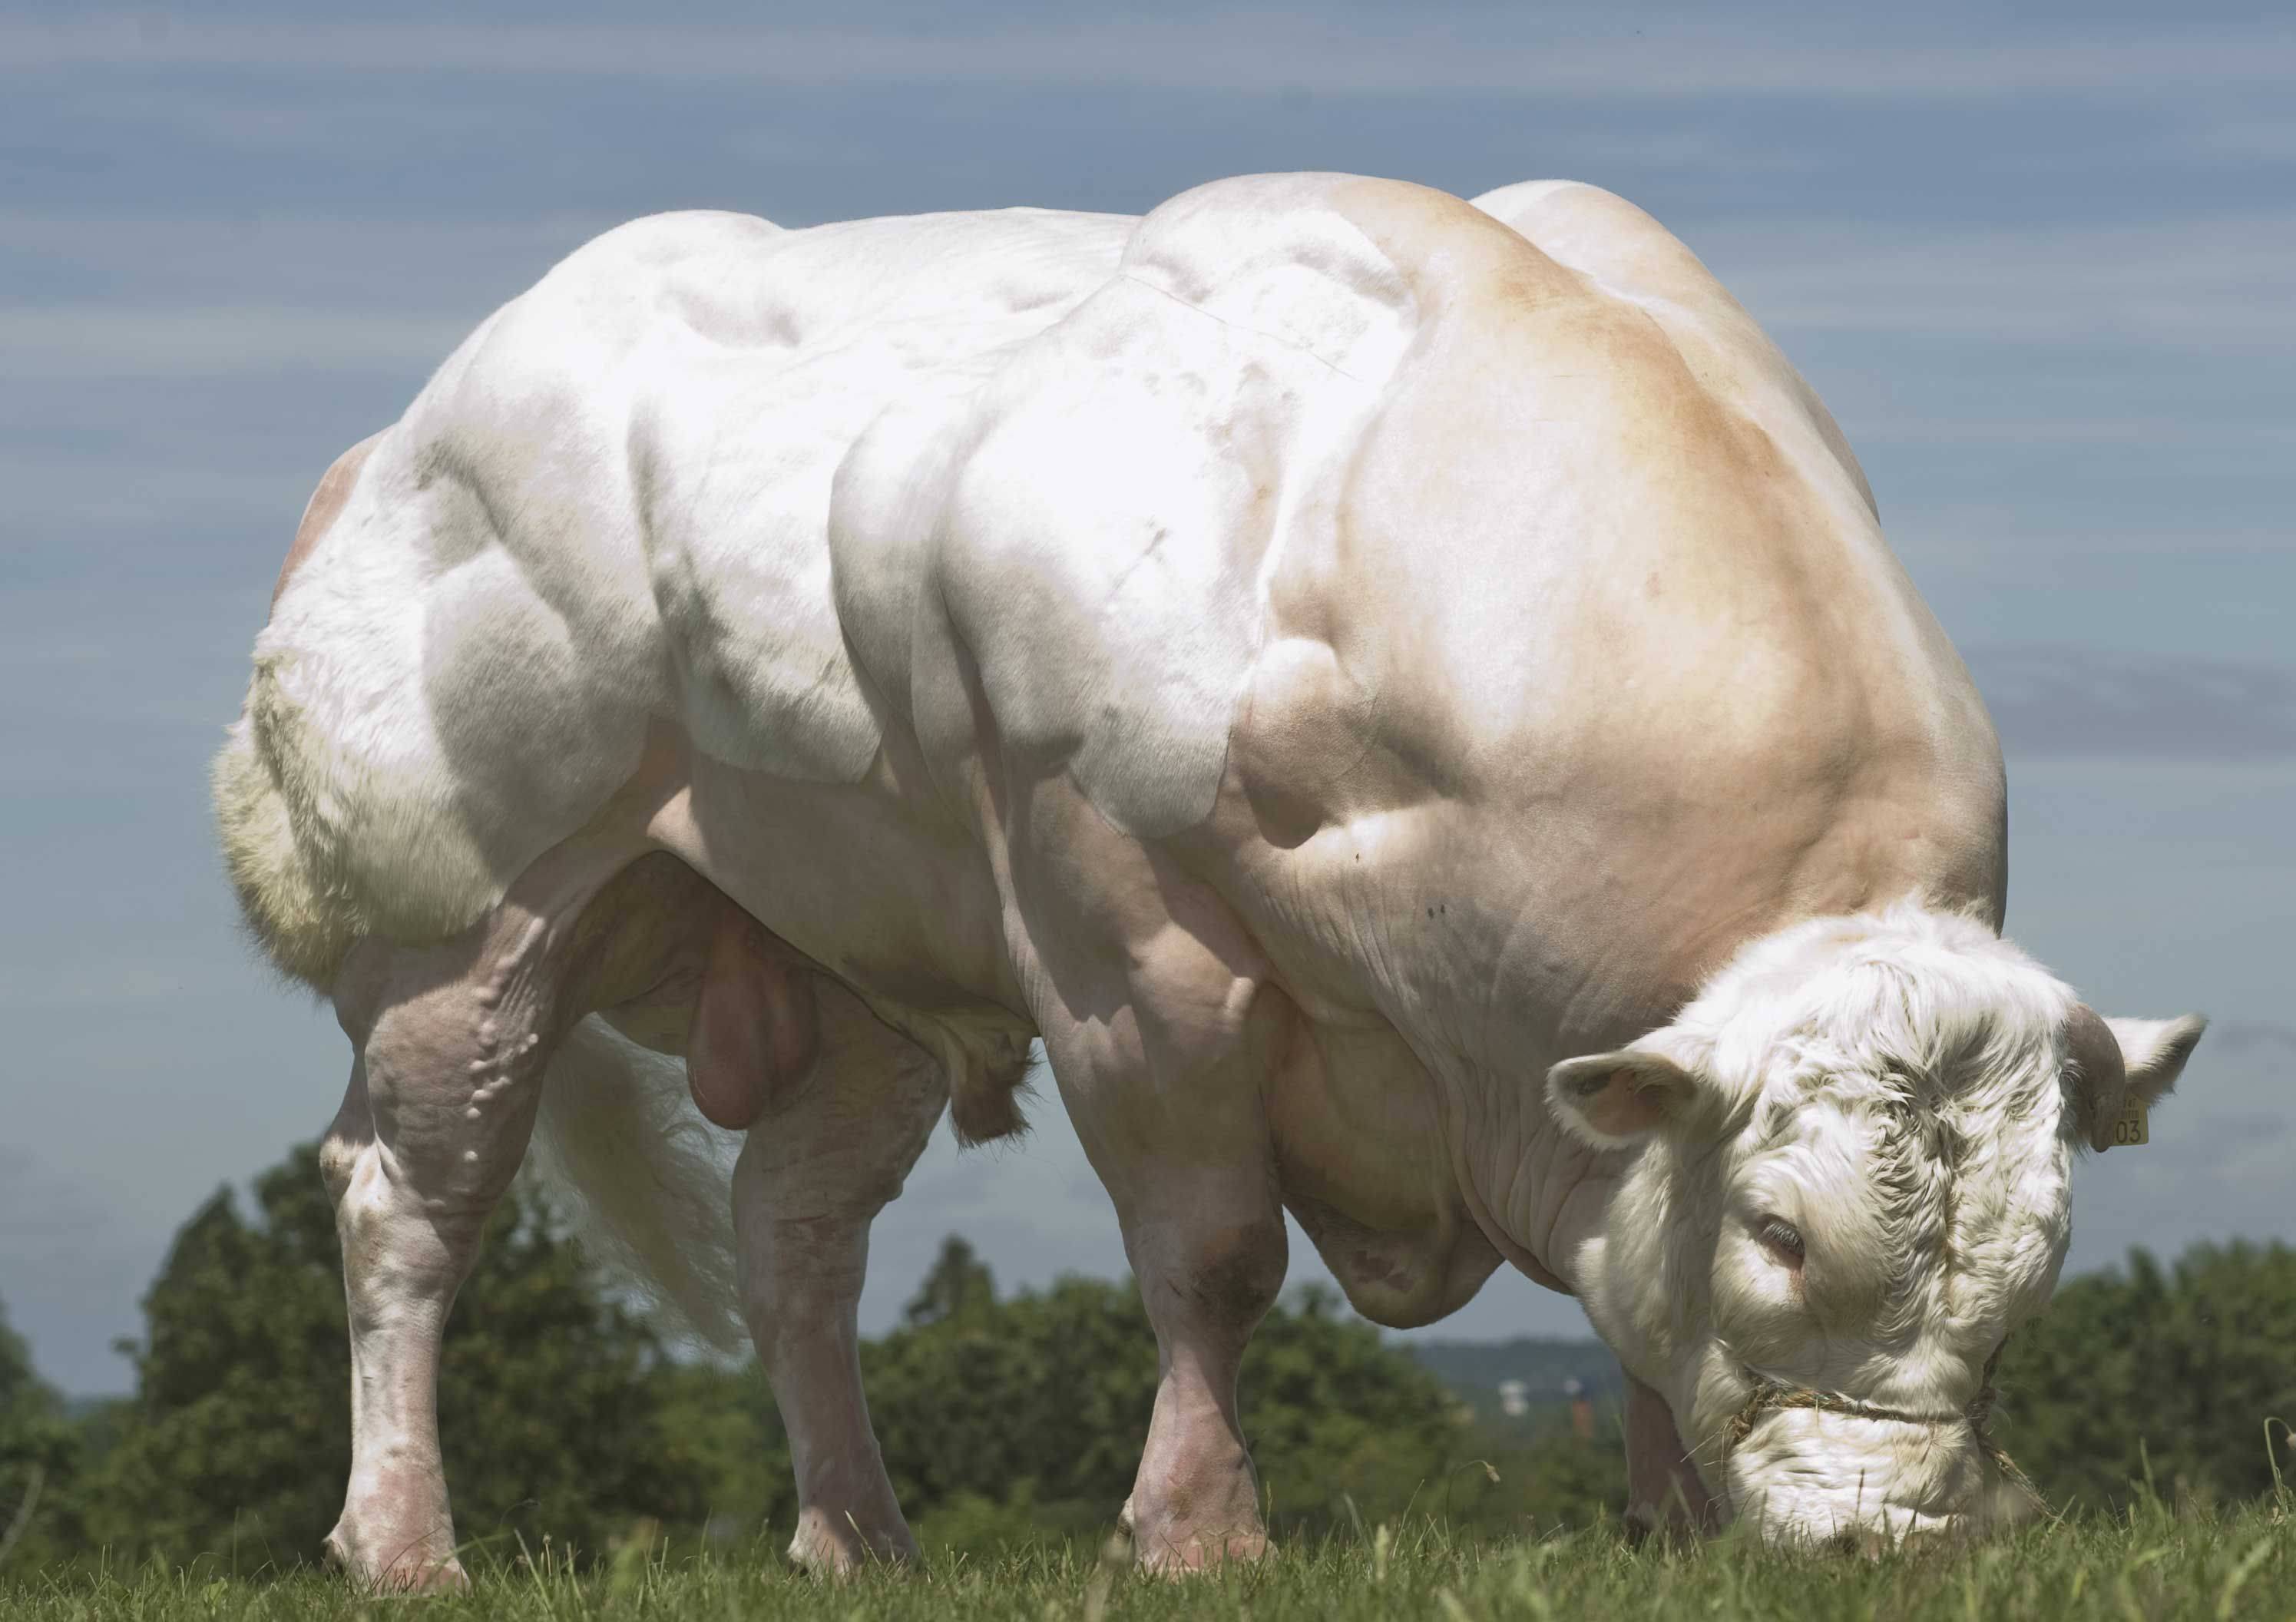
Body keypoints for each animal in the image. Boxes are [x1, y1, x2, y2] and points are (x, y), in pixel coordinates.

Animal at [216, 177, 2204, 1581]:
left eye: (2039, 1264)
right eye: (1784, 1230)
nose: (1895, 1537)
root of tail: (404, 439)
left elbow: (1636, 1296)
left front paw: (1675, 1530)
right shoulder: (1119, 930)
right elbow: (1216, 1253)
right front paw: (1195, 1529)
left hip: (853, 976)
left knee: (794, 1237)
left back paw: (859, 1540)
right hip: (461, 923)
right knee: (410, 1208)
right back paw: (403, 1546)